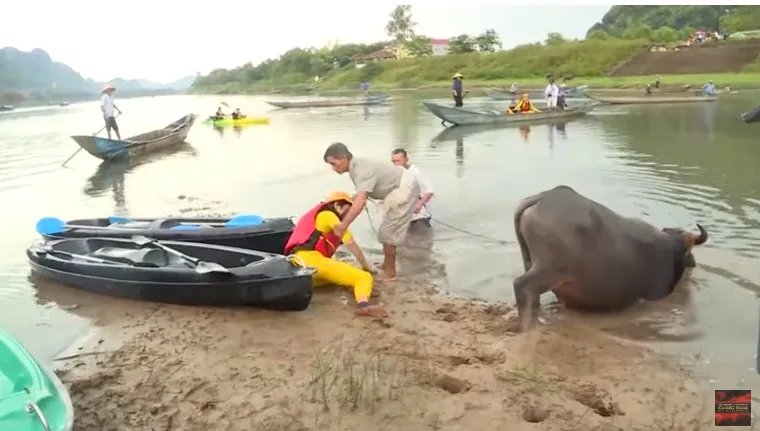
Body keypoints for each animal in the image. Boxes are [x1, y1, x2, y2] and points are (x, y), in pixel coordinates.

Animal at [510, 184, 708, 332]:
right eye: (690, 249)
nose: (694, 263)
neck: (671, 249)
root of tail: (544, 197)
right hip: (551, 270)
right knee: (522, 286)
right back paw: (529, 327)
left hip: (529, 261)